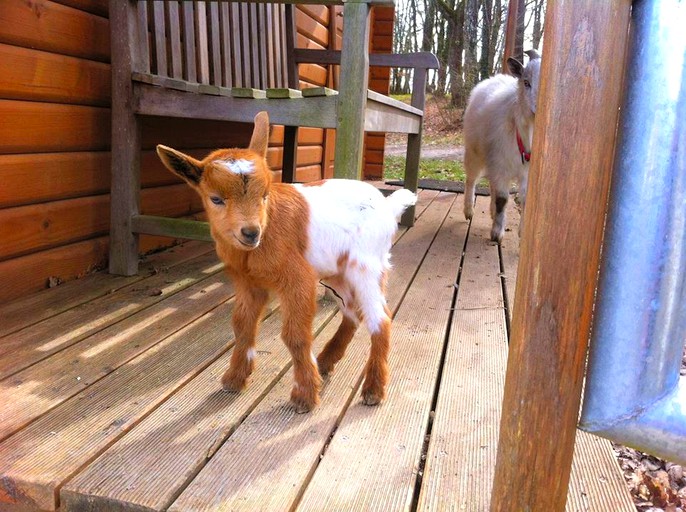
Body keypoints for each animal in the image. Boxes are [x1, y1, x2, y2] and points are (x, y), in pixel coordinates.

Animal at [462, 50, 544, 242]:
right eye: (526, 82)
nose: (537, 109)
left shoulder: (526, 173)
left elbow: (525, 200)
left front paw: (522, 232)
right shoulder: (501, 165)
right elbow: (502, 199)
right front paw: (496, 233)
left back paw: (491, 212)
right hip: (474, 152)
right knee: (471, 179)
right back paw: (469, 210)